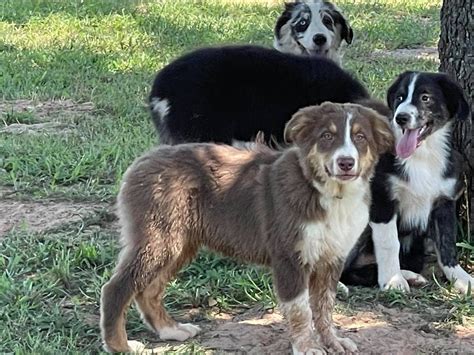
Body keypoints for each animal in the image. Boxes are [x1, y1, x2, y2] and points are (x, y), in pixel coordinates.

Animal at [100, 101, 392, 354]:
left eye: (361, 137)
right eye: (327, 136)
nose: (346, 162)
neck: (326, 191)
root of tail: (144, 159)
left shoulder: (331, 258)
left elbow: (324, 307)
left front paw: (333, 342)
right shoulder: (290, 257)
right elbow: (301, 310)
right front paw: (307, 347)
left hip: (179, 244)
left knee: (148, 291)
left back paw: (170, 330)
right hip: (159, 240)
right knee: (116, 289)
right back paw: (121, 346)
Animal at [342, 71, 472, 294]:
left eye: (425, 98)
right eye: (400, 98)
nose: (400, 118)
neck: (423, 156)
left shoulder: (444, 202)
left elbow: (447, 243)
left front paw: (461, 278)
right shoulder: (383, 200)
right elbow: (389, 242)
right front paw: (393, 280)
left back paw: (410, 275)